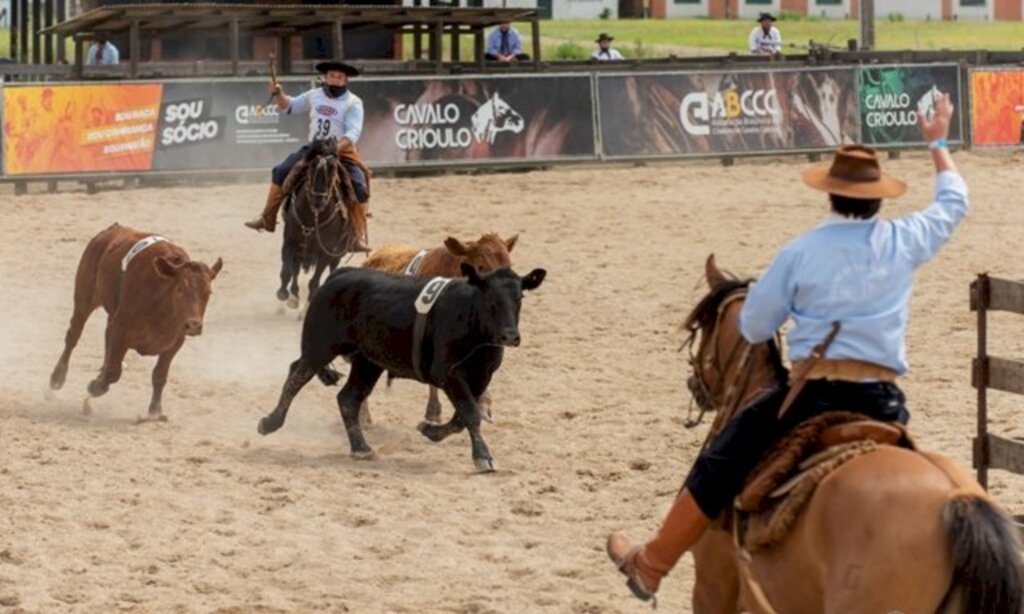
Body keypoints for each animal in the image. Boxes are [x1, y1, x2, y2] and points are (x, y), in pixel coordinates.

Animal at [49, 224, 222, 421]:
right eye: (180, 289)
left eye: (208, 292)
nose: (193, 325)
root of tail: (111, 229)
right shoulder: (121, 330)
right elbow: (113, 372)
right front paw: (95, 386)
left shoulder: (176, 342)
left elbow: (159, 375)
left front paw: (155, 411)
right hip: (84, 297)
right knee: (73, 336)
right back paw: (57, 378)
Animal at [254, 260, 544, 472]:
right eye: (490, 299)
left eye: (519, 298)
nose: (510, 336)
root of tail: (340, 274)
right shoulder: (449, 374)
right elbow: (470, 413)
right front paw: (483, 457)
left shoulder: (481, 378)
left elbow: (462, 416)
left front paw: (430, 430)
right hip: (319, 347)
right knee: (297, 375)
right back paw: (270, 422)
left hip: (367, 363)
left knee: (348, 398)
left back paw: (360, 447)